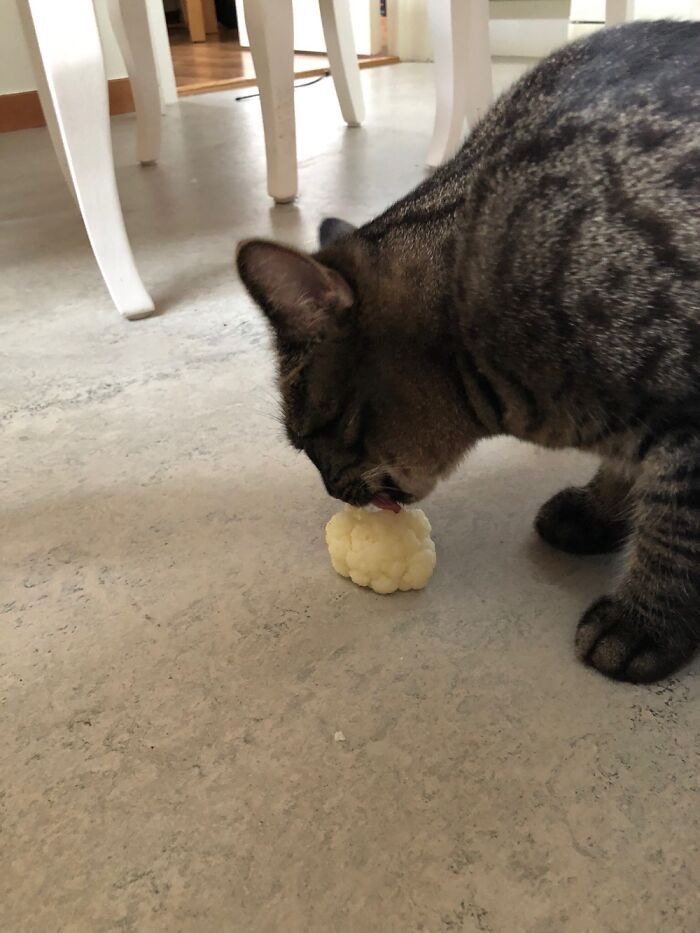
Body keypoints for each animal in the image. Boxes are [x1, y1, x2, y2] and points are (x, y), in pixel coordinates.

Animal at [238, 18, 700, 680]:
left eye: (308, 441)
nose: (329, 490)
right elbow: (627, 469)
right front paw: (600, 510)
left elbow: (675, 530)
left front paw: (646, 621)